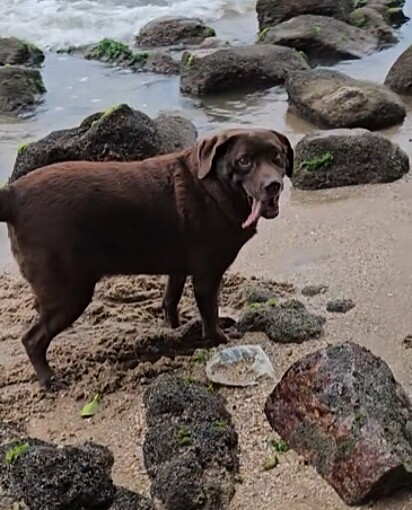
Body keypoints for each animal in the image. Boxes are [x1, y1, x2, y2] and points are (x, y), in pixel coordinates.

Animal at [0, 126, 292, 386]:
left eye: (277, 156)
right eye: (244, 161)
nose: (273, 185)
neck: (215, 188)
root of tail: (12, 196)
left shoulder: (179, 268)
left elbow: (170, 299)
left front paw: (175, 326)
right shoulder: (207, 277)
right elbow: (210, 315)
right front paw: (221, 338)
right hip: (70, 294)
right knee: (33, 339)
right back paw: (48, 379)